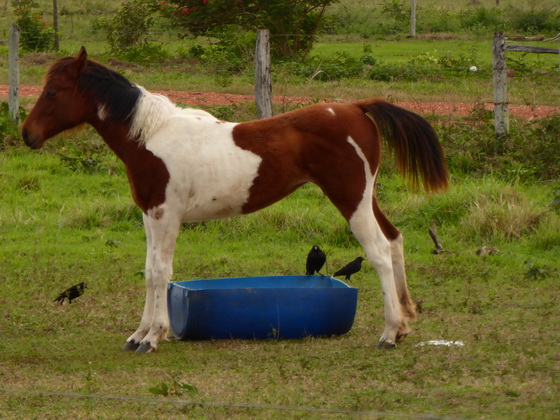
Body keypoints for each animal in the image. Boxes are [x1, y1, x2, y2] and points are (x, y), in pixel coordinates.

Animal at [21, 47, 448, 352]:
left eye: (53, 92)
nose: (27, 134)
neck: (152, 137)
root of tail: (357, 108)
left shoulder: (166, 216)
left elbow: (160, 271)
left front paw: (153, 337)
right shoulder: (149, 215)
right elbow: (148, 271)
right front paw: (138, 334)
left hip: (350, 200)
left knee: (378, 252)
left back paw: (389, 333)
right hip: (365, 197)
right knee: (394, 240)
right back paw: (404, 325)